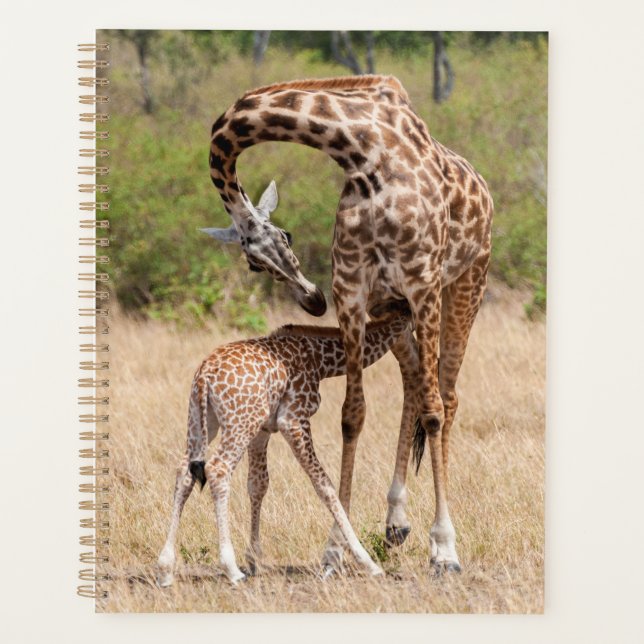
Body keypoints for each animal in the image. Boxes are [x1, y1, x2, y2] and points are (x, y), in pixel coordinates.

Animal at [157, 310, 411, 587]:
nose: (411, 357)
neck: (320, 360)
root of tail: (205, 375)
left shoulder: (263, 430)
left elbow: (258, 485)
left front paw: (254, 560)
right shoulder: (293, 420)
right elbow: (324, 485)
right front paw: (367, 562)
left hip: (202, 420)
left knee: (184, 471)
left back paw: (166, 569)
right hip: (239, 422)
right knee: (218, 469)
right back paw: (231, 569)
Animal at [202, 75, 493, 574]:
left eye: (285, 236)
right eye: (255, 264)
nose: (313, 300)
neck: (364, 153)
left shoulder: (422, 282)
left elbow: (434, 411)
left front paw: (445, 549)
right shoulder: (354, 292)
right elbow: (352, 416)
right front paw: (335, 550)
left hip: (466, 284)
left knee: (446, 397)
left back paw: (436, 542)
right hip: (392, 308)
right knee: (413, 383)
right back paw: (396, 522)